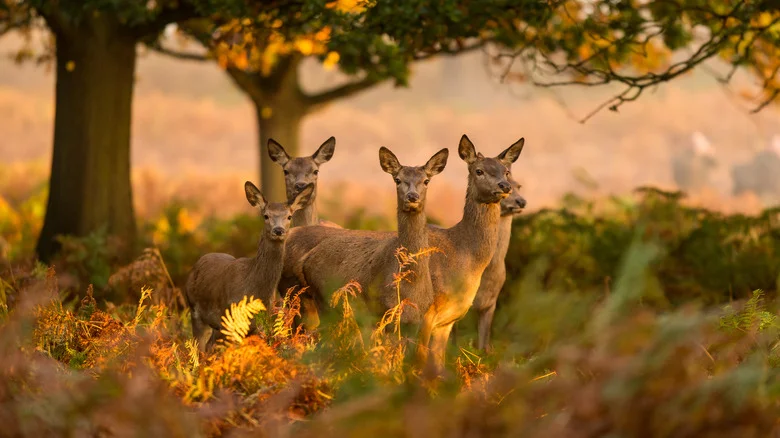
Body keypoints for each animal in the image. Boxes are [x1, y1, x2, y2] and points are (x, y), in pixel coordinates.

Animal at [184, 181, 314, 352]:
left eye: (289, 216)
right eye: (266, 216)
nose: (278, 230)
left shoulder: (259, 325)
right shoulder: (232, 321)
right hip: (195, 310)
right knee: (198, 349)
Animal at [280, 146, 450, 325]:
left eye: (426, 181)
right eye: (397, 180)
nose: (412, 196)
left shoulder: (417, 318)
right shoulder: (377, 310)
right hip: (318, 298)